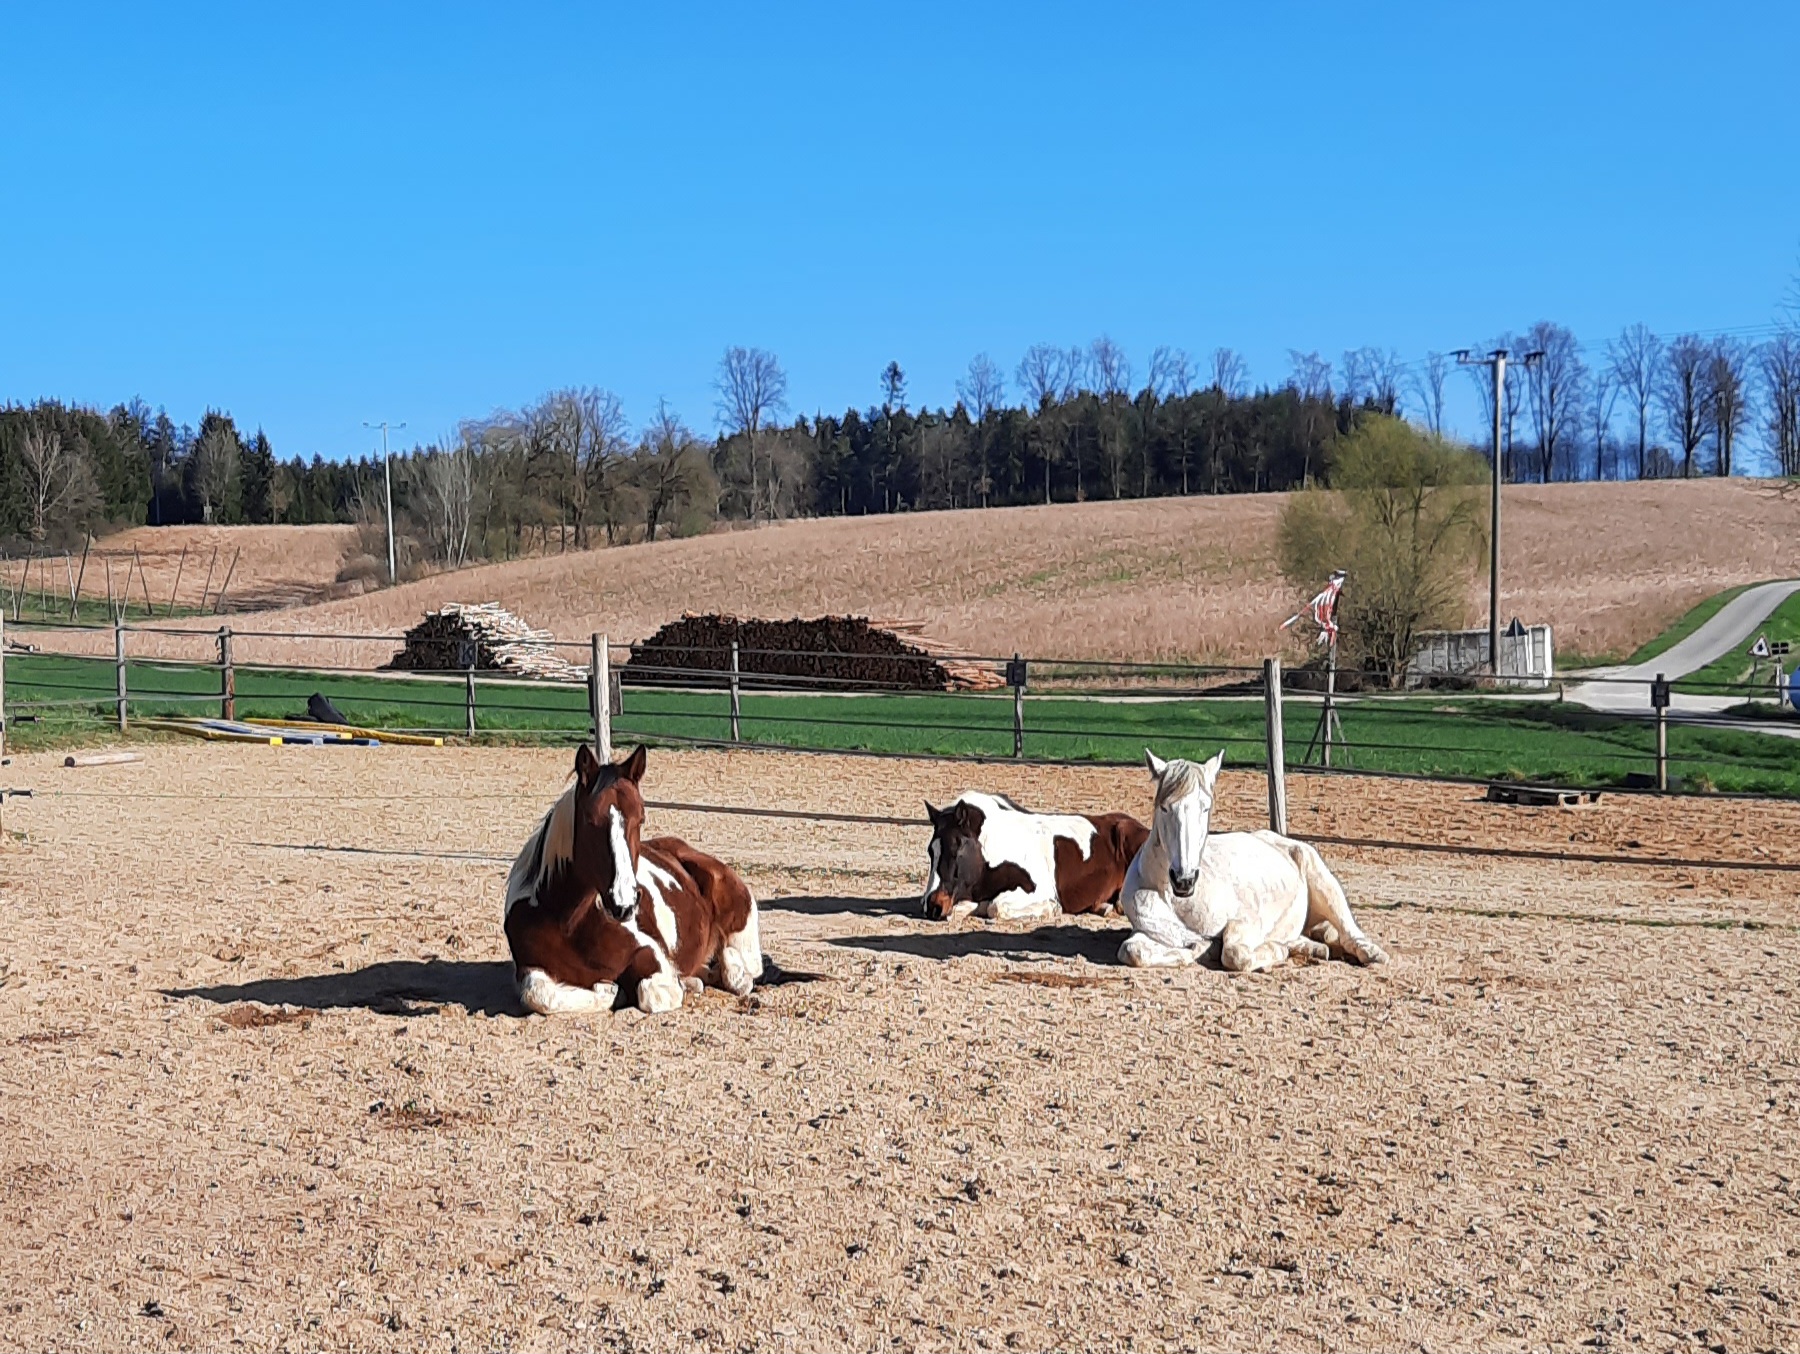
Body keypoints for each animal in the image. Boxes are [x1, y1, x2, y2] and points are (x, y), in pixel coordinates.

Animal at [503, 743, 764, 1014]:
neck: (568, 923)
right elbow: (538, 995)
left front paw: (611, 990)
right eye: (590, 820)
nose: (624, 904)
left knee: (742, 969)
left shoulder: (650, 954)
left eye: (641, 819)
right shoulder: (530, 969)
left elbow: (651, 994)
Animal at [921, 792, 1148, 921]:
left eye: (957, 848)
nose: (933, 905)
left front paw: (1052, 908)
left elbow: (996, 907)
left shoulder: (1037, 890)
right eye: (931, 851)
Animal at [1118, 749, 1389, 972]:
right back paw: (1312, 948)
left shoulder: (1248, 922)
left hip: (1324, 882)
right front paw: (1197, 950)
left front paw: (1274, 950)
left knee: (1349, 930)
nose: (1184, 880)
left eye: (1205, 807)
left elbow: (1234, 954)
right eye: (1164, 807)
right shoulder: (1148, 932)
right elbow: (1132, 951)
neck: (1176, 899)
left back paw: (1372, 953)